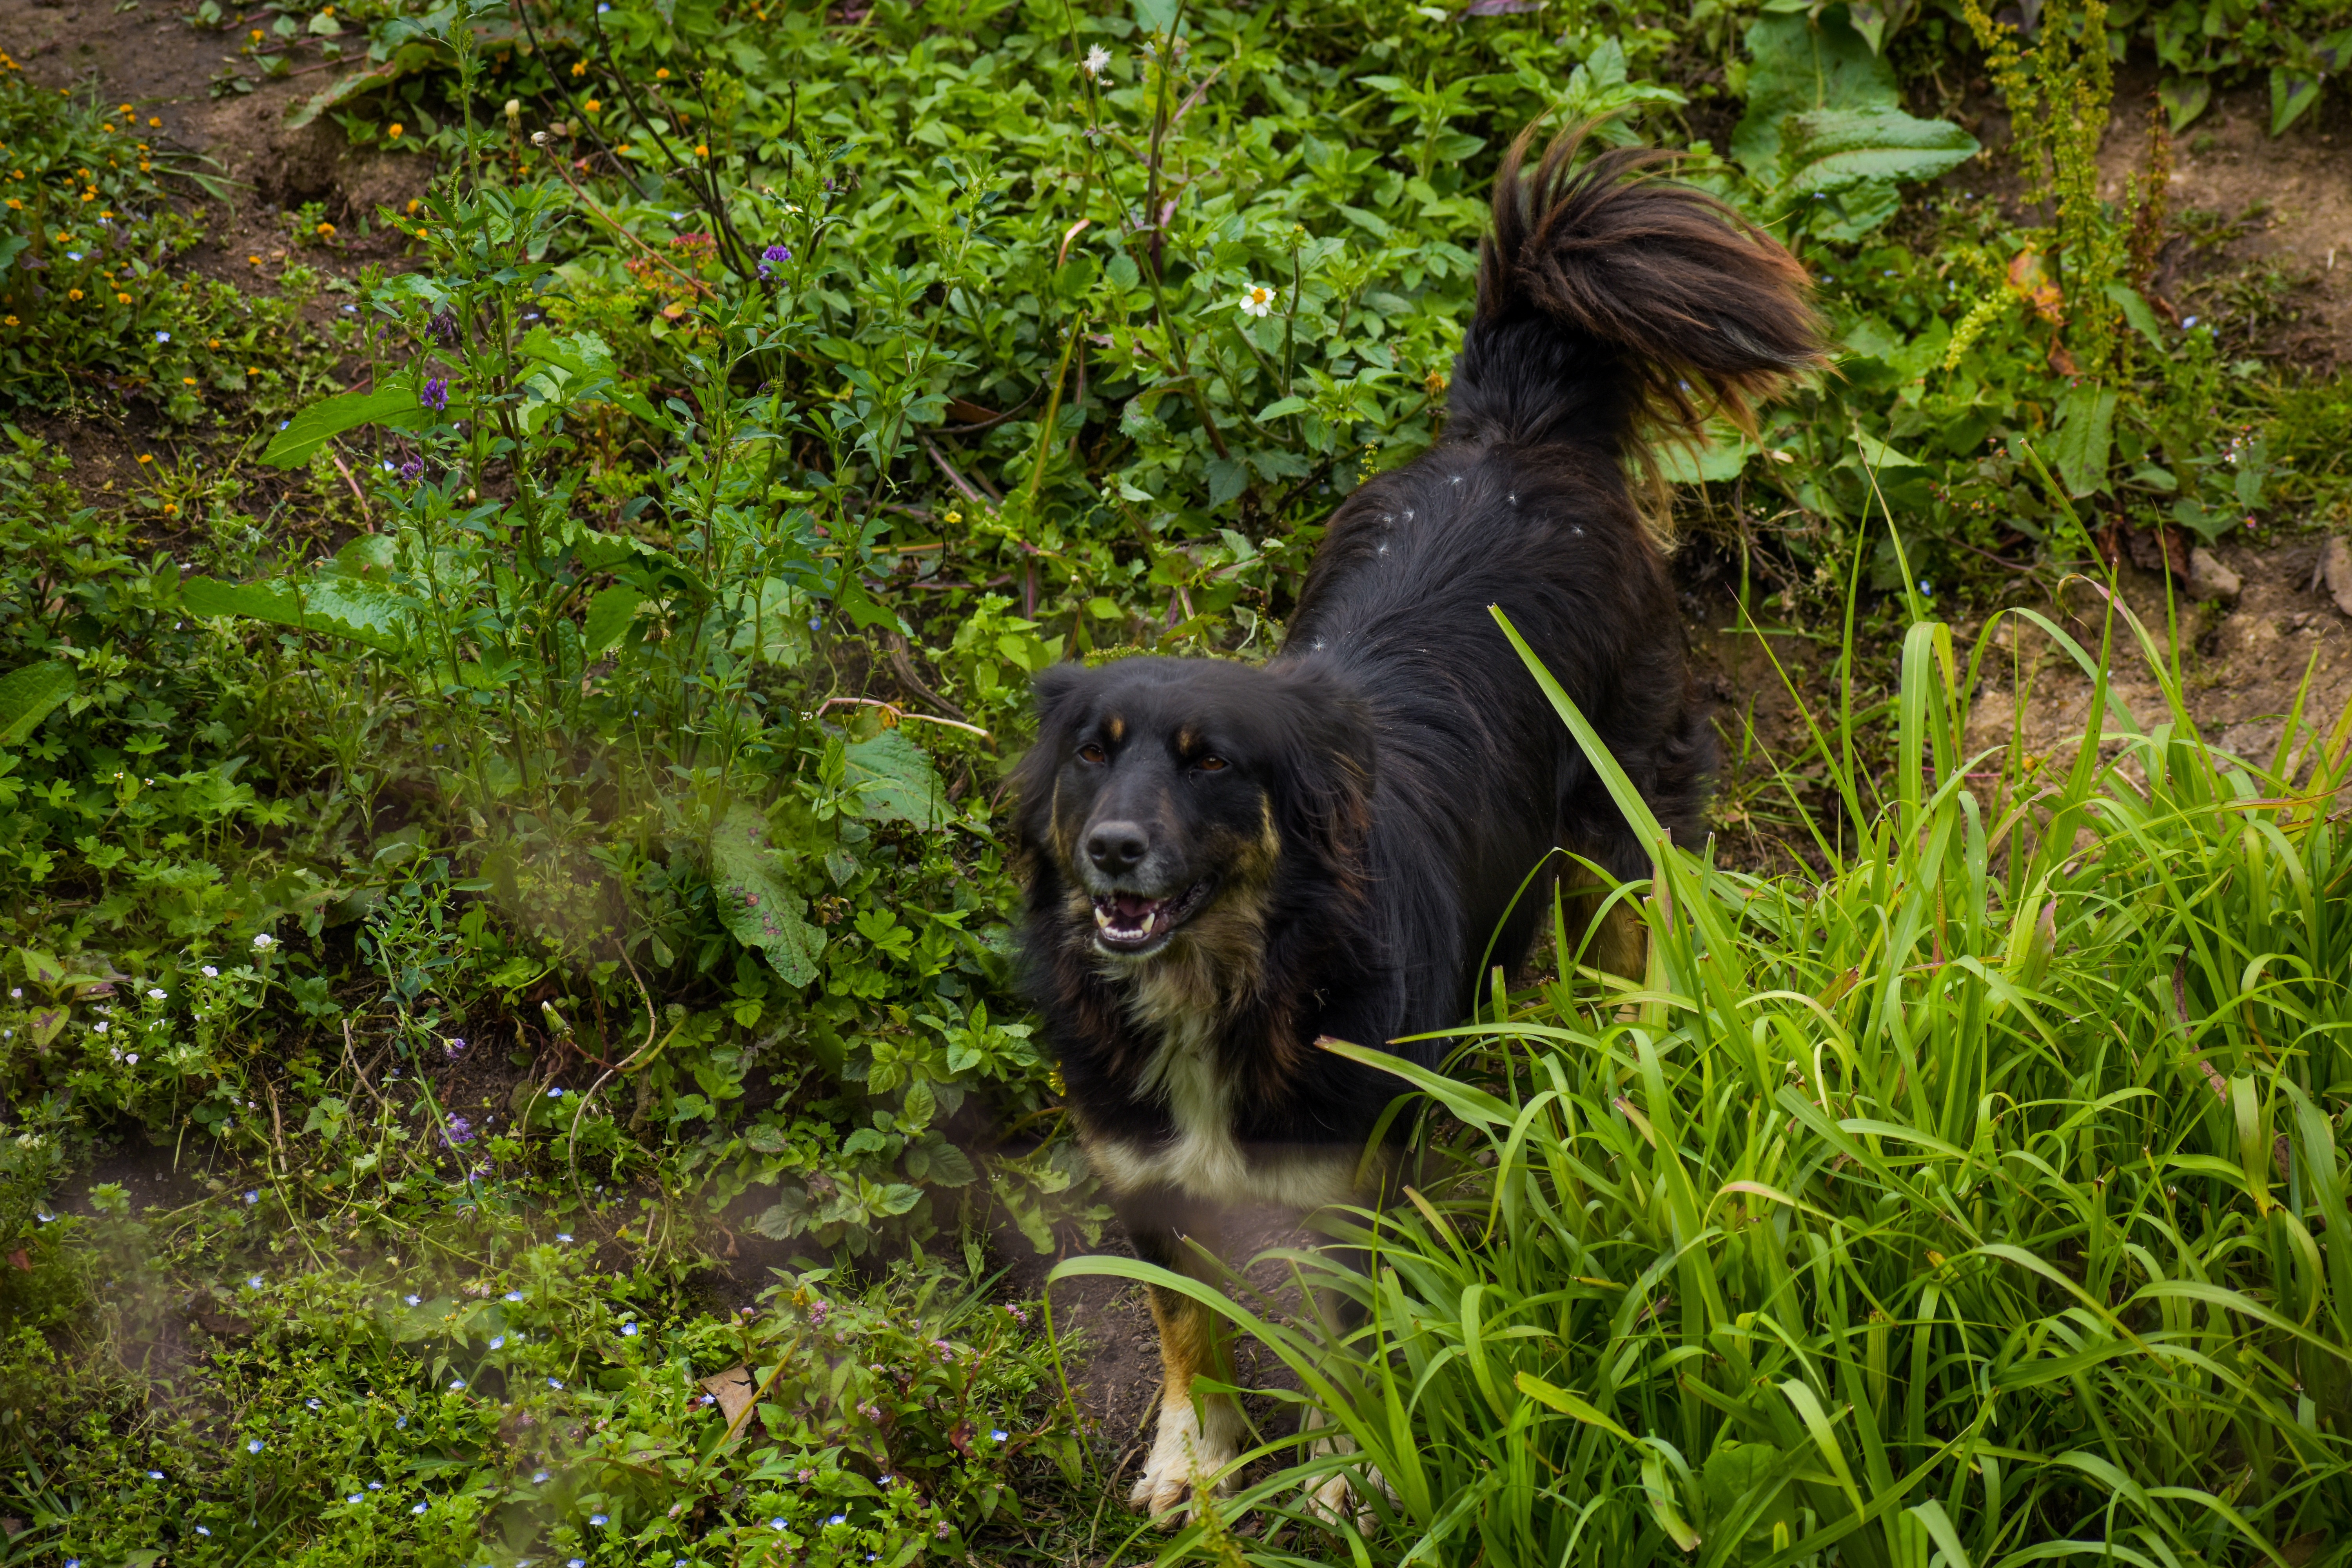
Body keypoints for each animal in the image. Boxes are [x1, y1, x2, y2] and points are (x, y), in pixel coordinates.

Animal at [1007, 129, 1816, 1523]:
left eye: (1208, 763)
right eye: (1090, 758)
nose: (1111, 851)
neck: (1234, 979)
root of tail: (1516, 428)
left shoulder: (1350, 1189)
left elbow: (1342, 1342)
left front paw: (1347, 1470)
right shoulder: (1145, 1175)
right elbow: (1184, 1323)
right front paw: (1195, 1456)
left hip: (1625, 822)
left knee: (1635, 960)